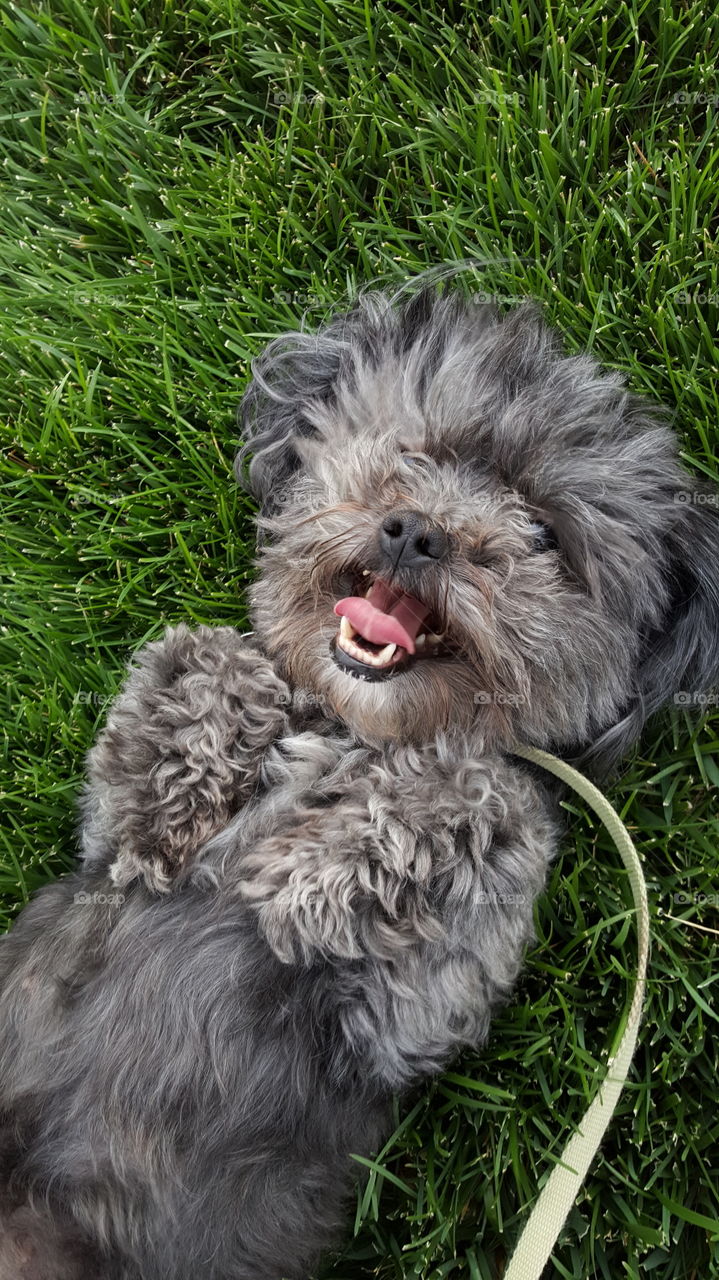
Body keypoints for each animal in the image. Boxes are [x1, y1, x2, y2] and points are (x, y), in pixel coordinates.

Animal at [1, 282, 716, 1280]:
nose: (416, 530)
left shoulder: (410, 1015)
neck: (354, 732)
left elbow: (487, 797)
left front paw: (311, 874)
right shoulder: (101, 852)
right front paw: (185, 786)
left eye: (544, 532)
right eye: (413, 450)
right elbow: (185, 671)